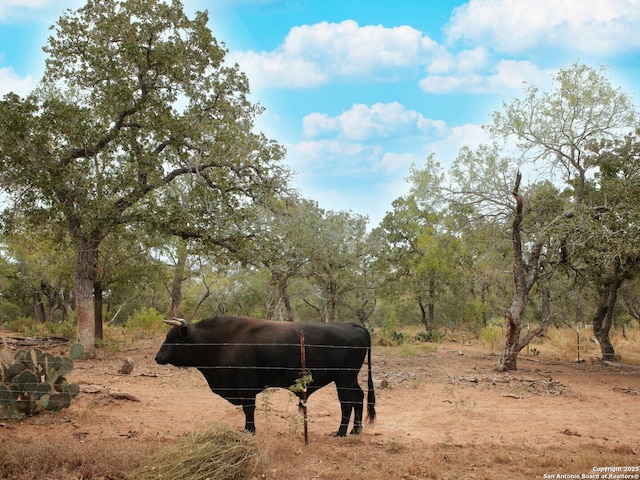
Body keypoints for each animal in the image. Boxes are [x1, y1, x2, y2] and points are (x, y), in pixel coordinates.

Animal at [155, 316, 376, 436]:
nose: (157, 357)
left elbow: (249, 408)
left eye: (173, 339)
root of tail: (352, 325)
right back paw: (356, 430)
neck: (224, 341)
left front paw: (249, 430)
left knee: (347, 403)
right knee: (359, 397)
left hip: (343, 379)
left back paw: (341, 432)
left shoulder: (245, 385)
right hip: (351, 379)